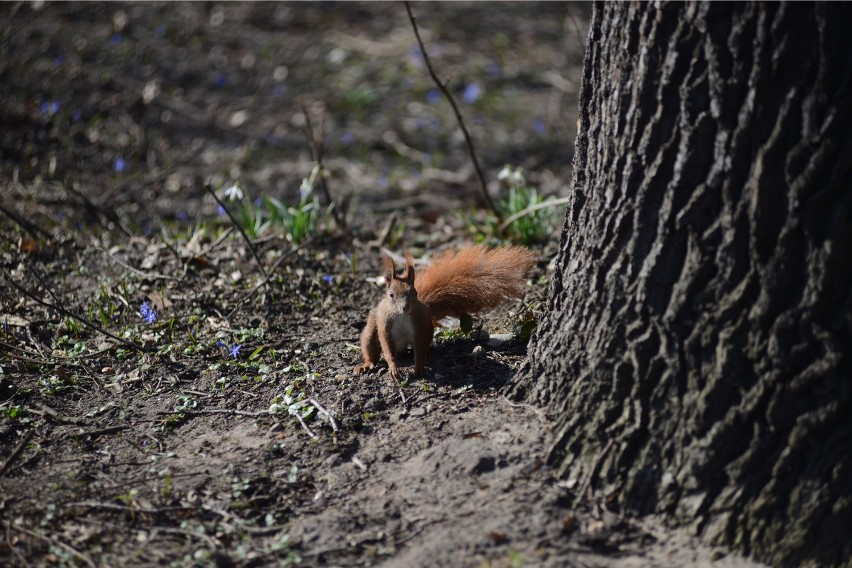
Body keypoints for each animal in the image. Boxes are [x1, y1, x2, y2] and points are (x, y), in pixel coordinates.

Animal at [356, 245, 536, 382]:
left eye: (415, 292)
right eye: (391, 295)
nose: (406, 307)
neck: (402, 316)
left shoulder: (420, 325)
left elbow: (419, 348)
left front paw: (419, 367)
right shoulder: (385, 323)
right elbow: (387, 347)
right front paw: (394, 369)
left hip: (427, 329)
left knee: (423, 347)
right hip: (371, 332)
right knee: (371, 348)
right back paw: (366, 365)